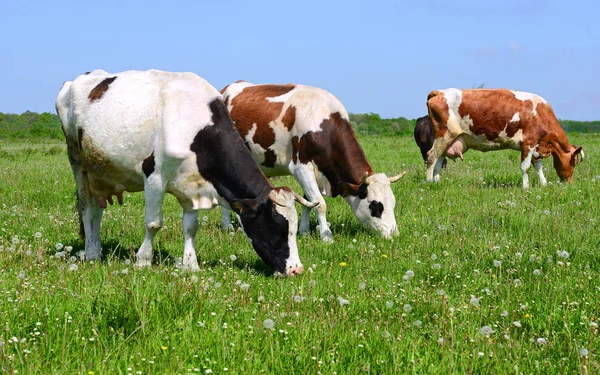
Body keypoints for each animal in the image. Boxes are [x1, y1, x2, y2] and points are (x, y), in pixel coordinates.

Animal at [56, 70, 318, 276]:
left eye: (294, 229)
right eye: (277, 227)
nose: (296, 269)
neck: (196, 127)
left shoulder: (192, 185)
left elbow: (191, 227)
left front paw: (191, 265)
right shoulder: (154, 177)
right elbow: (153, 223)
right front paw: (143, 261)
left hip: (101, 174)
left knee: (97, 212)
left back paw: (97, 249)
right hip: (78, 163)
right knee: (86, 209)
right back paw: (91, 253)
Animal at [218, 81, 406, 242]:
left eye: (393, 203)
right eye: (376, 206)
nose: (394, 234)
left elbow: (308, 202)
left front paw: (303, 231)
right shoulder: (301, 168)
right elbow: (319, 204)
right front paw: (326, 237)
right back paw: (228, 226)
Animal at [424, 87, 584, 188]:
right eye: (574, 162)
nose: (570, 183)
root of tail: (440, 92)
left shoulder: (536, 146)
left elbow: (538, 166)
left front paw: (543, 184)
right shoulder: (529, 142)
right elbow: (525, 167)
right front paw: (525, 187)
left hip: (448, 140)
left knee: (439, 159)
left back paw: (437, 181)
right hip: (444, 135)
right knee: (431, 157)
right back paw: (429, 182)